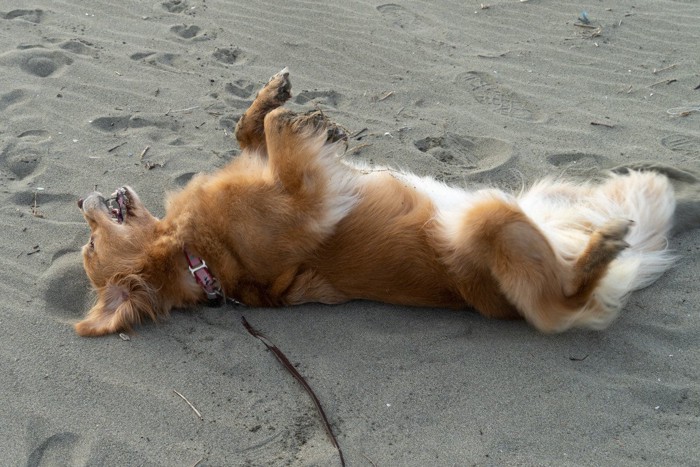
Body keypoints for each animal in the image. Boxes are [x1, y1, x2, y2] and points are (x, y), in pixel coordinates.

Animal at [74, 68, 696, 336]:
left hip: (551, 196)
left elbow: (250, 128)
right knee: (566, 300)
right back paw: (603, 250)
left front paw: (277, 98)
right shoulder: (305, 202)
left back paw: (672, 188)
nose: (81, 199)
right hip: (495, 225)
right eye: (91, 248)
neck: (195, 253)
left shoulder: (272, 172)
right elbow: (282, 139)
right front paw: (306, 121)